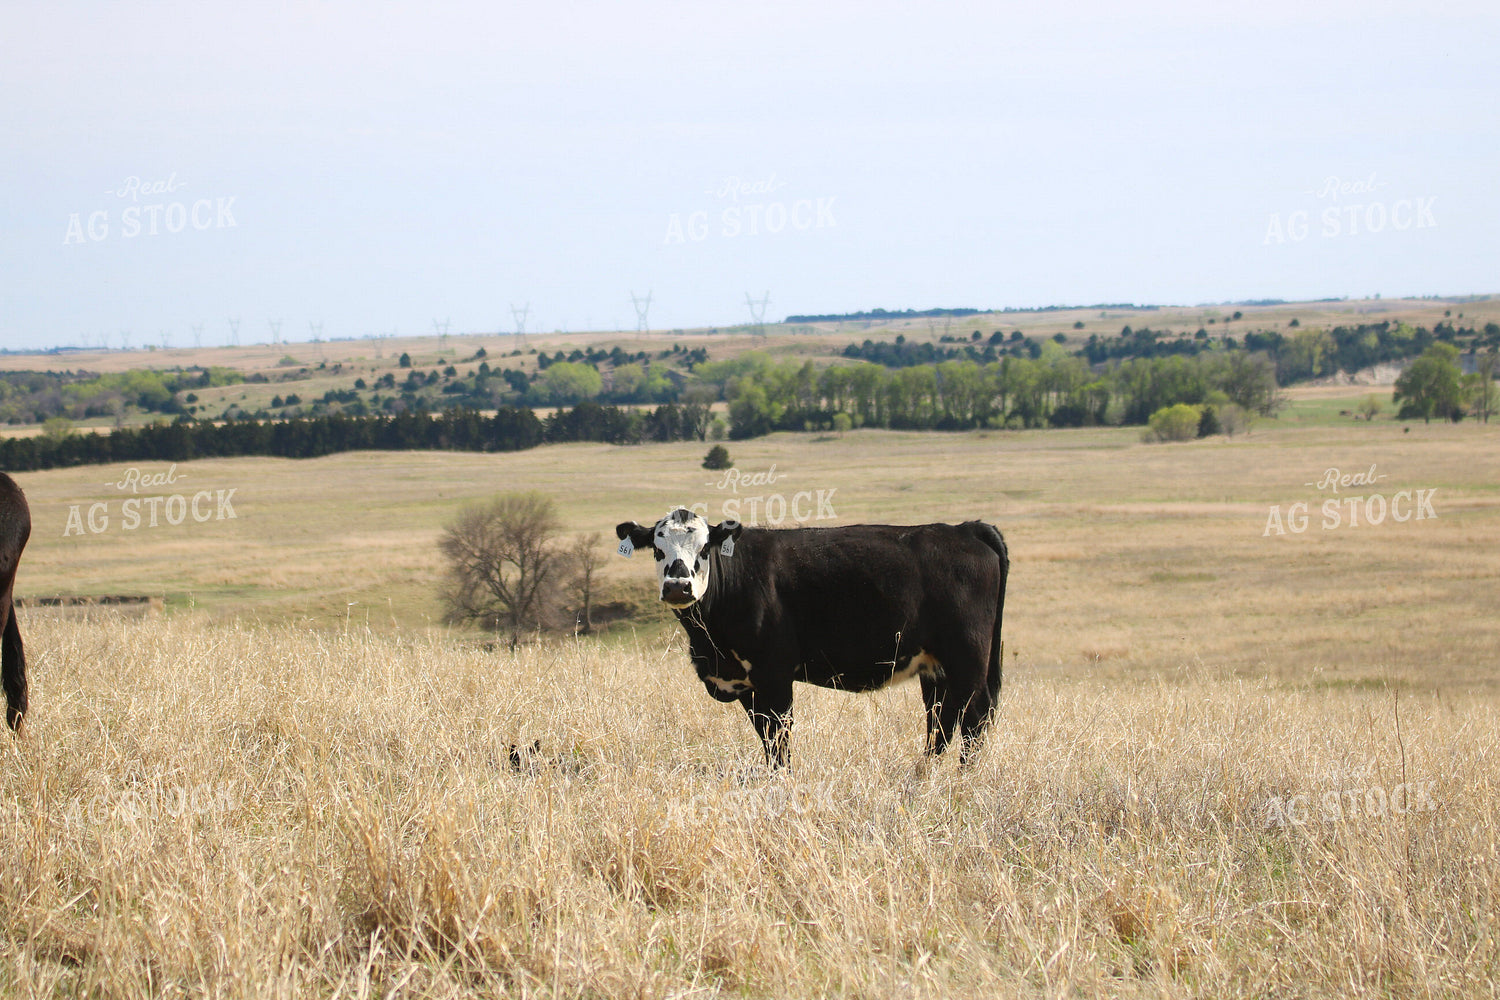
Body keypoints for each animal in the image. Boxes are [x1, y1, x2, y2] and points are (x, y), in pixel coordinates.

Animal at [615, 508, 1008, 768]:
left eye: (704, 548)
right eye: (657, 549)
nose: (677, 586)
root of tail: (964, 530)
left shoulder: (774, 676)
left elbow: (779, 742)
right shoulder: (748, 686)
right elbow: (766, 739)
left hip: (968, 659)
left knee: (974, 719)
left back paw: (964, 780)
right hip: (935, 666)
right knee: (941, 720)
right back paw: (924, 777)